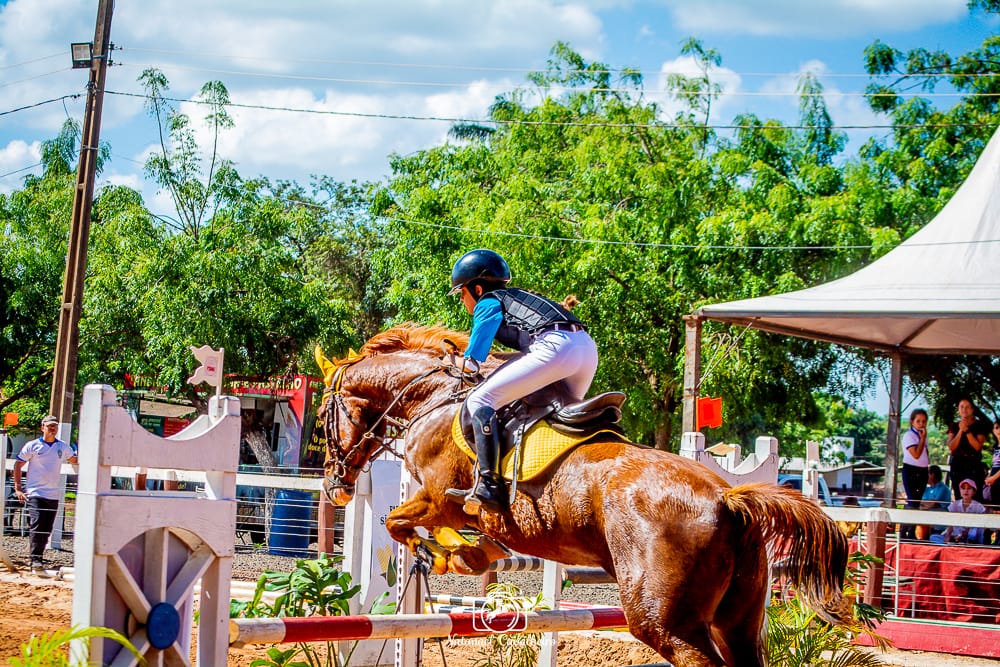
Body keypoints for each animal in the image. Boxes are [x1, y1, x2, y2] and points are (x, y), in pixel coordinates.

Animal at [316, 324, 848, 667]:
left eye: (322, 418)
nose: (335, 487)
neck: (433, 398)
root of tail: (729, 498)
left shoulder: (437, 496)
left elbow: (398, 522)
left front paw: (450, 554)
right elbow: (454, 535)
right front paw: (467, 553)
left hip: (664, 622)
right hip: (737, 620)